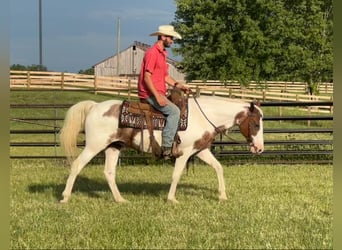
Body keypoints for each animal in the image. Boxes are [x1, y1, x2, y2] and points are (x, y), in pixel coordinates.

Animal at [58, 95, 264, 203]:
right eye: (255, 124)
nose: (260, 148)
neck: (202, 117)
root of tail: (94, 107)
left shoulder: (201, 151)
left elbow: (218, 168)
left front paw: (222, 196)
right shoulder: (184, 153)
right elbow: (176, 175)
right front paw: (172, 199)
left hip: (113, 147)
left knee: (109, 172)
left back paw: (120, 199)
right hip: (94, 145)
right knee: (76, 165)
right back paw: (65, 197)